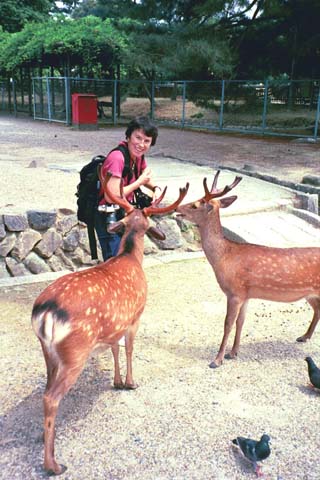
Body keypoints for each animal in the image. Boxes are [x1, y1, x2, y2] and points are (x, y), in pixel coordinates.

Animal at [31, 173, 188, 476]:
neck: (130, 256)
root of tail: (45, 312)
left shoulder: (115, 325)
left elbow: (115, 348)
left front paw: (116, 382)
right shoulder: (136, 315)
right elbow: (129, 349)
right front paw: (130, 382)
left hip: (48, 352)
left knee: (45, 390)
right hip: (76, 352)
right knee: (51, 397)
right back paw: (53, 465)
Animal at [176, 171, 320, 370]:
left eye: (196, 204)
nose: (177, 209)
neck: (224, 257)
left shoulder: (234, 292)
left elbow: (228, 324)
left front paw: (217, 360)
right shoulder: (246, 294)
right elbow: (241, 322)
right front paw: (233, 353)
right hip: (309, 294)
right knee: (318, 309)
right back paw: (304, 336)